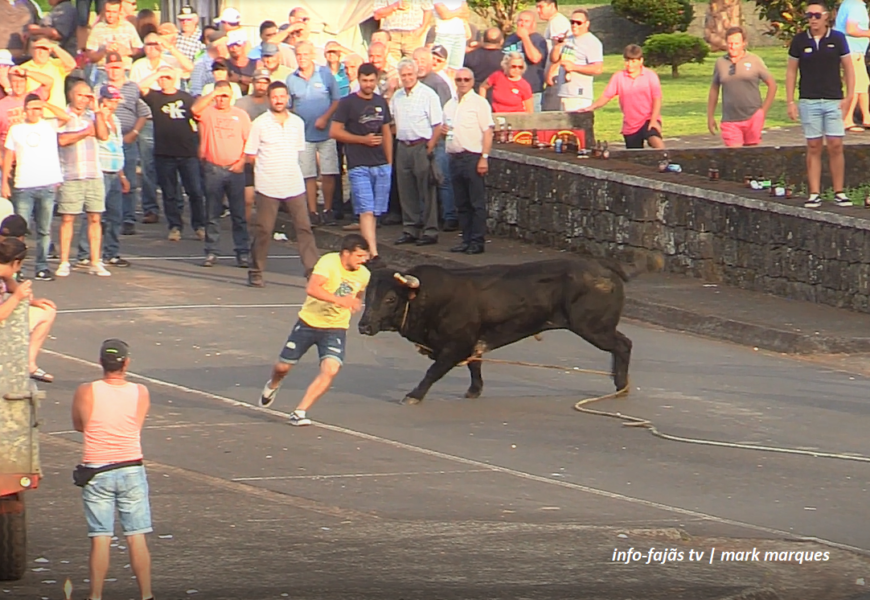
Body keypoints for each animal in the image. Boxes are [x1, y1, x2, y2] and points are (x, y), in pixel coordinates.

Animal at [358, 253, 664, 404]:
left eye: (390, 298)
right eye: (368, 295)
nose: (363, 326)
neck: (428, 298)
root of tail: (603, 266)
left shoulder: (455, 345)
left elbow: (433, 372)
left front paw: (413, 396)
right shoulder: (471, 343)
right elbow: (475, 365)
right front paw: (474, 391)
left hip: (593, 327)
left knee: (623, 344)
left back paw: (621, 385)